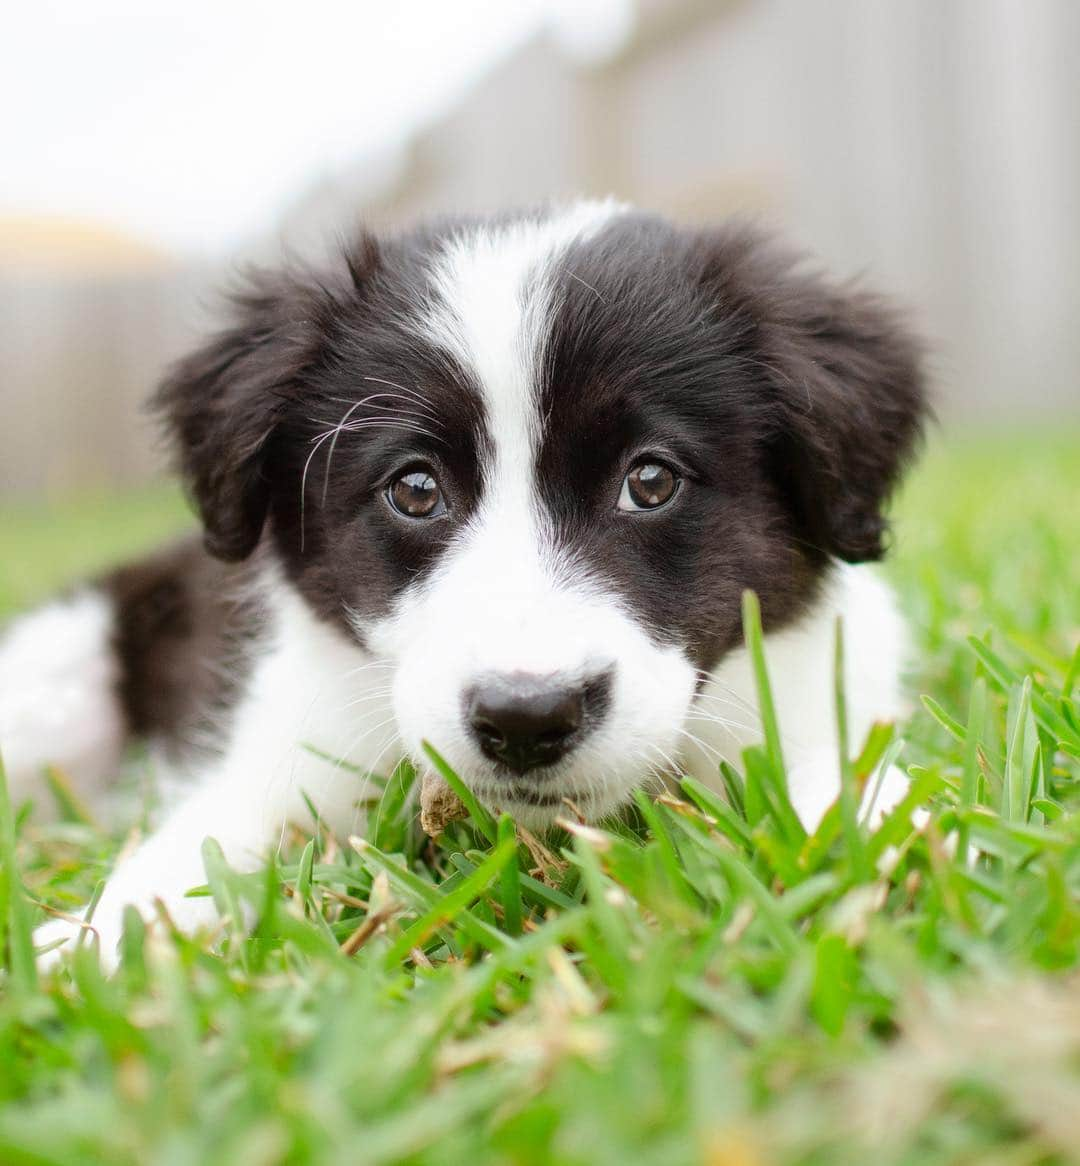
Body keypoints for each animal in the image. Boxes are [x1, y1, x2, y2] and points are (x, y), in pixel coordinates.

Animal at [2, 202, 928, 965]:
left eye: (651, 480)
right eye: (415, 489)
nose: (527, 719)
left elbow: (846, 787)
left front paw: (880, 848)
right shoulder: (293, 746)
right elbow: (198, 851)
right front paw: (84, 950)